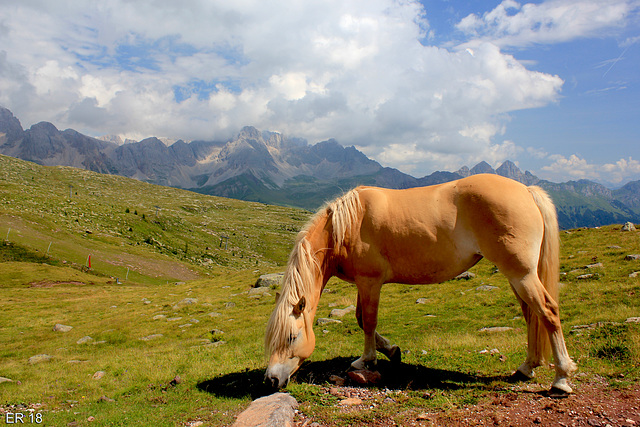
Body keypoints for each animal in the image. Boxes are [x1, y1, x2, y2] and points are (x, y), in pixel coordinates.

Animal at [262, 173, 576, 394]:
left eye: (291, 337)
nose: (272, 380)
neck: (346, 226)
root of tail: (526, 191)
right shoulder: (363, 283)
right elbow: (362, 319)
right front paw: (392, 351)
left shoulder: (370, 282)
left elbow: (369, 321)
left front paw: (367, 360)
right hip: (518, 276)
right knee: (532, 315)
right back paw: (527, 367)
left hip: (522, 275)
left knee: (548, 312)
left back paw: (561, 379)